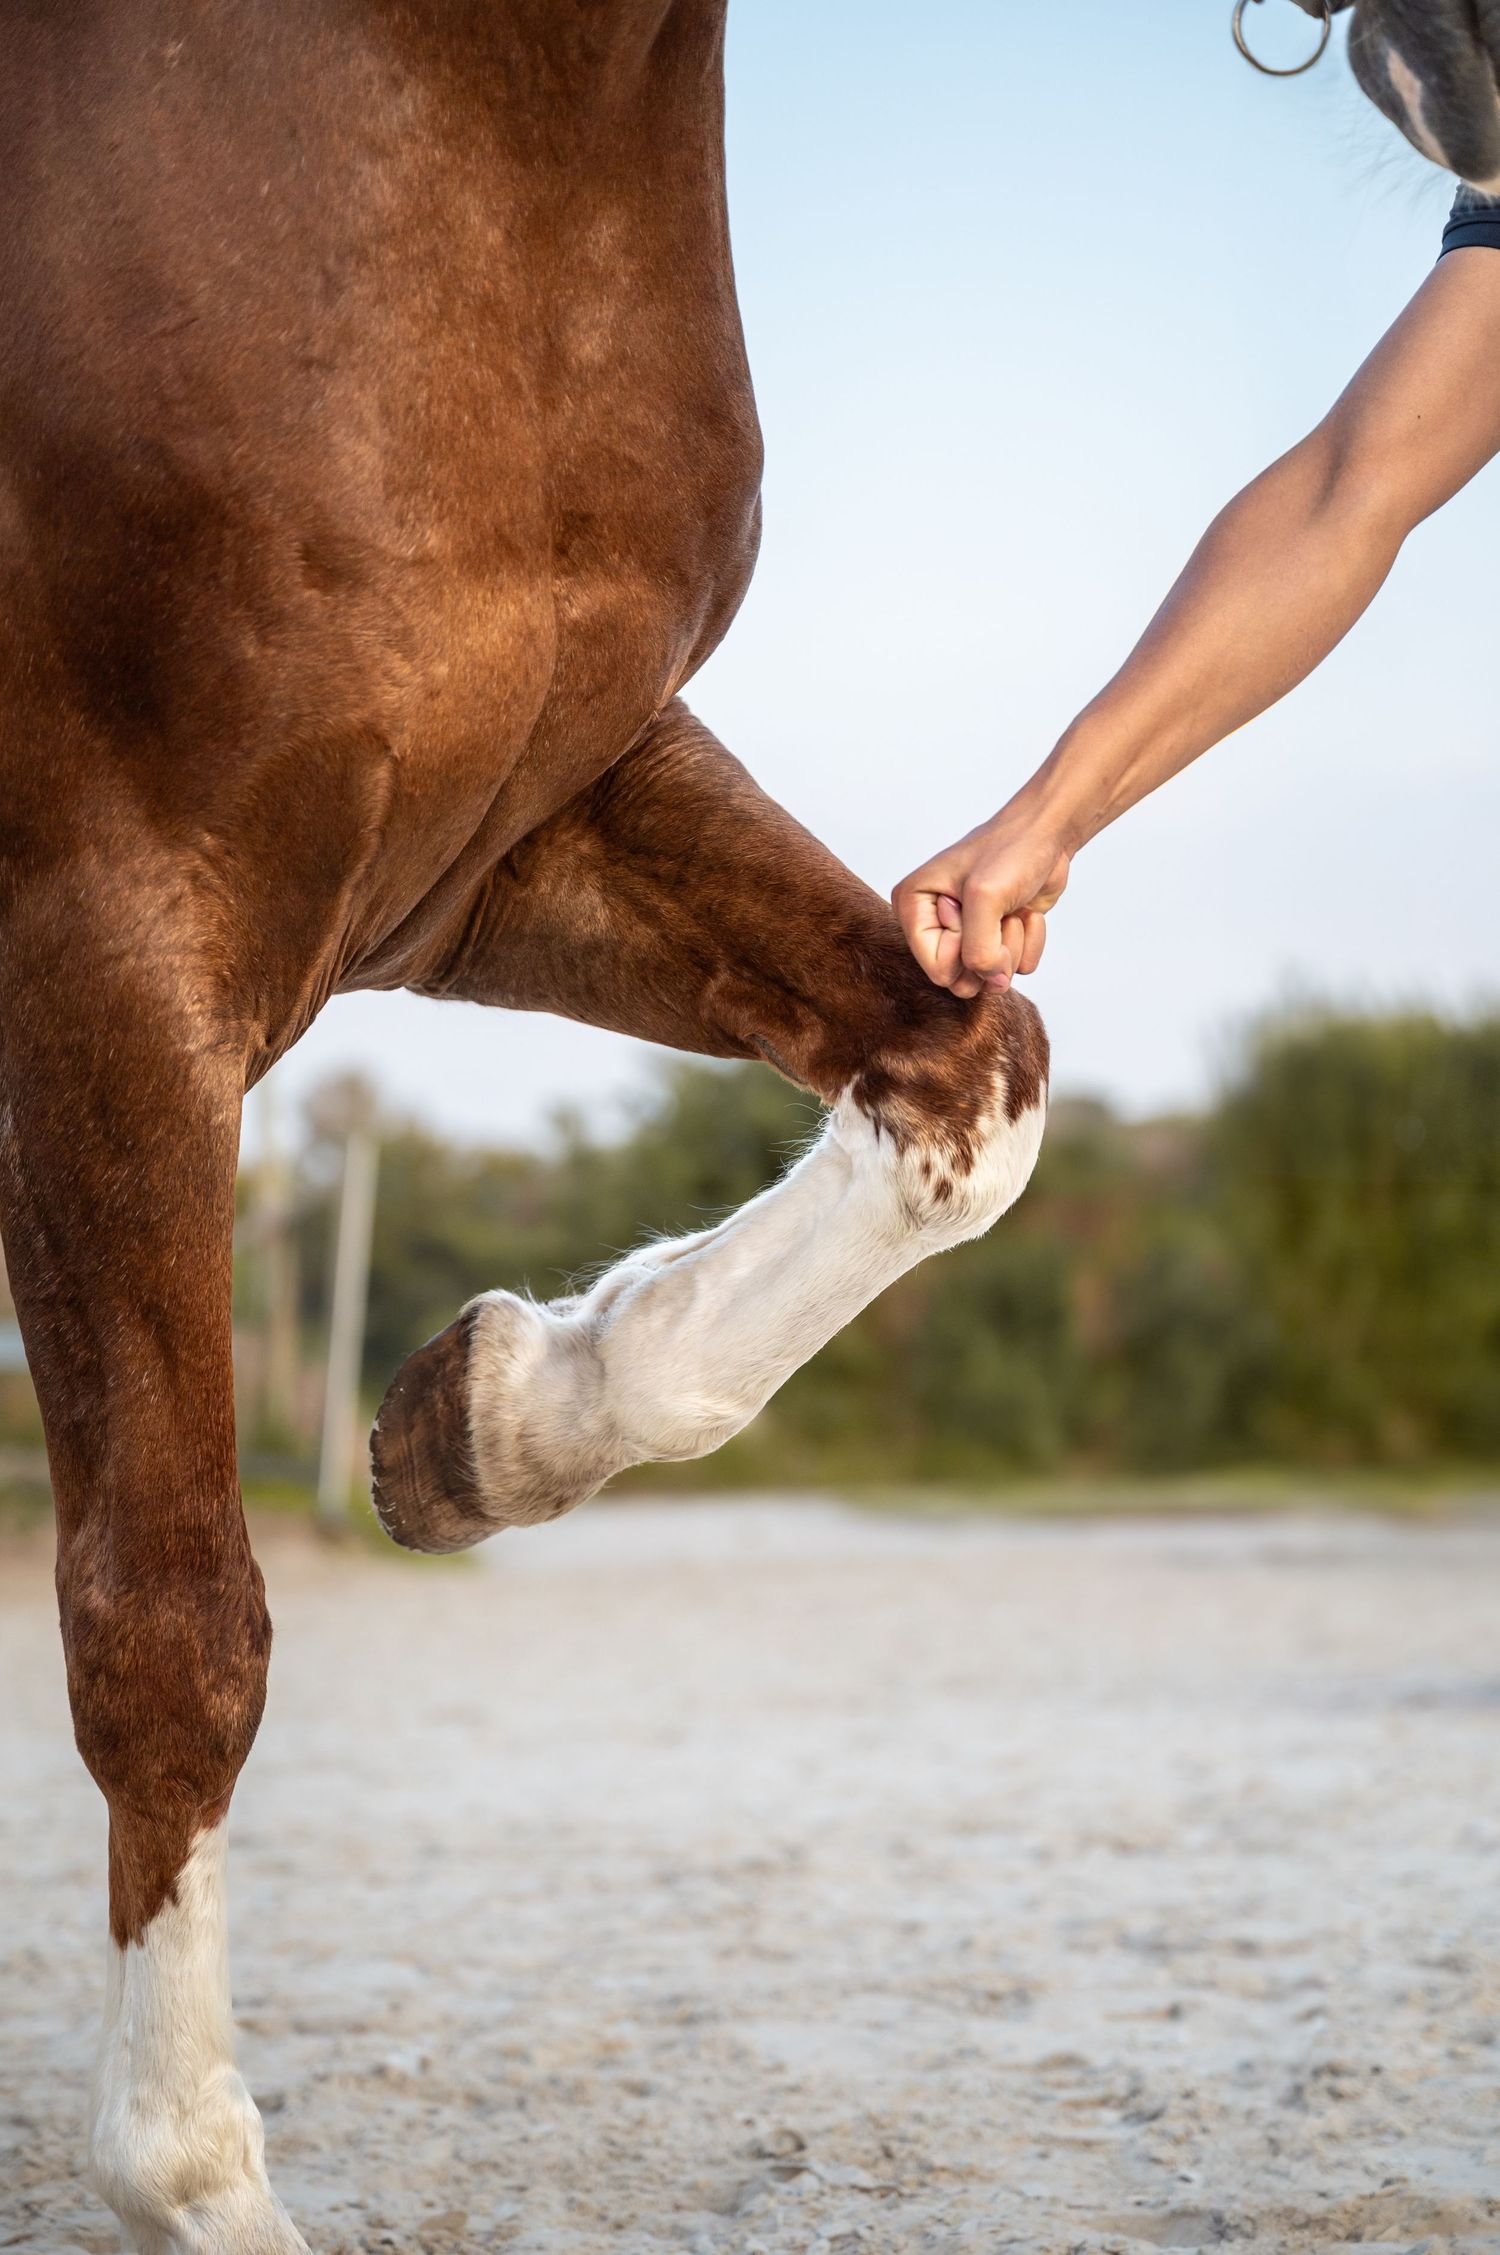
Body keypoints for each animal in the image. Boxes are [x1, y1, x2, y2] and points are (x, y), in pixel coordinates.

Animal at [0, 4, 1477, 2250]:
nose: (1460, 93)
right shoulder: (103, 935)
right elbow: (168, 1617)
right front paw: (190, 2178)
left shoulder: (523, 823)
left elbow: (973, 1073)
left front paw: (479, 1415)